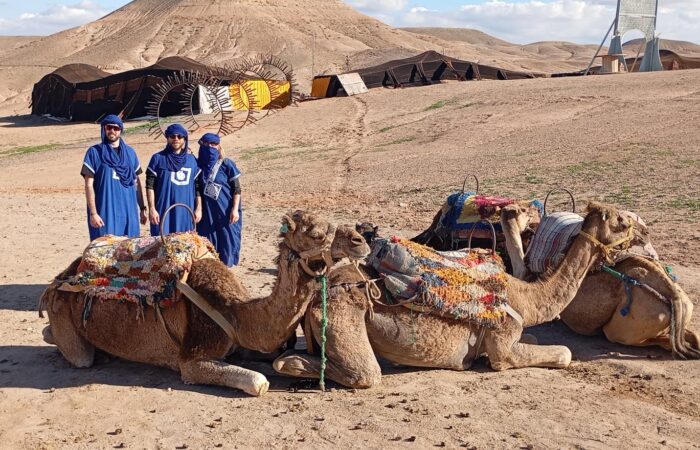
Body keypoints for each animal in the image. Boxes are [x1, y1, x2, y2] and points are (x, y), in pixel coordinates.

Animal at [39, 211, 370, 396]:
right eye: (315, 233)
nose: (360, 241)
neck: (236, 313)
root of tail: (61, 277)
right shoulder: (191, 359)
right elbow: (259, 382)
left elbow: (275, 353)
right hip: (64, 316)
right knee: (77, 353)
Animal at [272, 202, 641, 388]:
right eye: (622, 221)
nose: (643, 229)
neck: (527, 298)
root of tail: (321, 289)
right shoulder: (503, 344)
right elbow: (563, 353)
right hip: (343, 314)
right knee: (361, 373)